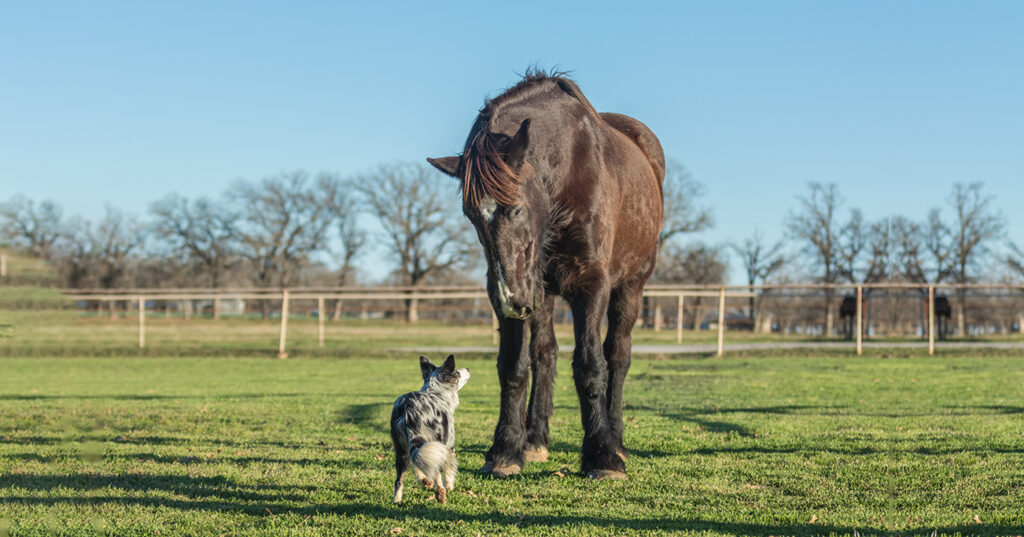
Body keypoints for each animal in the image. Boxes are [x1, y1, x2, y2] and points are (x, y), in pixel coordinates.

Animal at [425, 71, 659, 477]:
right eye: (471, 216)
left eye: (516, 208)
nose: (513, 301)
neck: (568, 170)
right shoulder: (514, 290)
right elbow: (515, 366)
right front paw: (505, 451)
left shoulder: (591, 283)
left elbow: (591, 365)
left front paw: (601, 455)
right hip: (541, 293)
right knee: (545, 354)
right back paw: (535, 440)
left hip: (630, 287)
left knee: (618, 356)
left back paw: (616, 441)